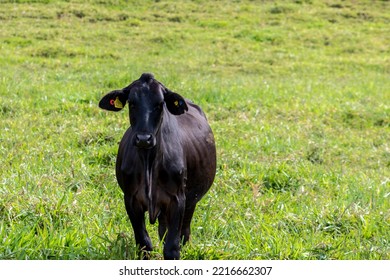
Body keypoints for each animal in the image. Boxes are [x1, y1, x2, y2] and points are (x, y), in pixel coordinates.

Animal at [98, 73, 216, 260]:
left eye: (160, 104)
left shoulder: (178, 199)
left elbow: (172, 247)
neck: (149, 161)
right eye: (132, 103)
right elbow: (144, 243)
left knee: (184, 232)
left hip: (191, 201)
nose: (143, 138)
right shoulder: (130, 199)